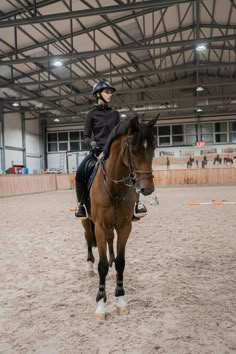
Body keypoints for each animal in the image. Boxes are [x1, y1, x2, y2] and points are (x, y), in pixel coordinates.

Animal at [81, 115, 159, 320]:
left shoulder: (125, 226)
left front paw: (121, 301)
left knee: (110, 243)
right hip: (86, 221)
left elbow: (121, 263)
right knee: (88, 239)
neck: (114, 188)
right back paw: (89, 266)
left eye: (153, 148)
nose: (147, 189)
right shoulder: (100, 227)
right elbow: (101, 265)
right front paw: (101, 305)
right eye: (133, 149)